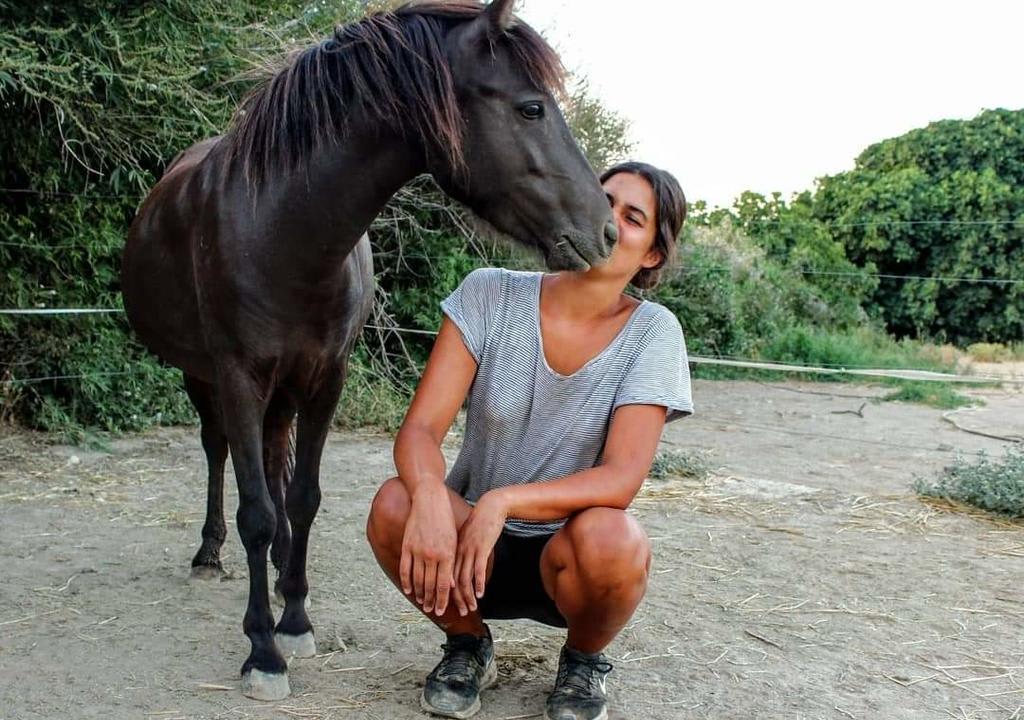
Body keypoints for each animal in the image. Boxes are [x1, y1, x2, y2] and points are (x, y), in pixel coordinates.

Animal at [119, 0, 614, 700]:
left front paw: (295, 618)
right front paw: (263, 651)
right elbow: (255, 511)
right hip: (203, 377)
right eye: (531, 108)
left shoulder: (327, 377)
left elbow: (302, 497)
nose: (606, 228)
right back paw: (210, 554)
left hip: (284, 388)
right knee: (219, 453)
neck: (281, 231)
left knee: (273, 454)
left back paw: (277, 569)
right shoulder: (238, 376)